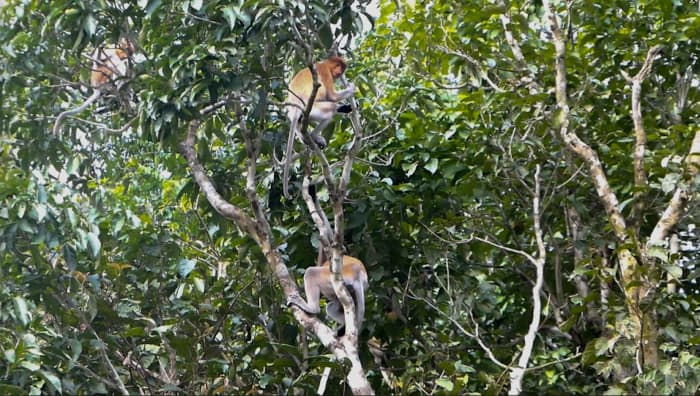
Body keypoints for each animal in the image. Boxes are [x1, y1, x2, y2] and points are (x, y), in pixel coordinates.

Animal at [282, 55, 356, 198]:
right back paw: (313, 135)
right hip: (313, 109)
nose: (339, 74)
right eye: (339, 68)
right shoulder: (325, 72)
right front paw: (352, 88)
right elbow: (331, 96)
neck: (323, 63)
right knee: (329, 110)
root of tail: (295, 107)